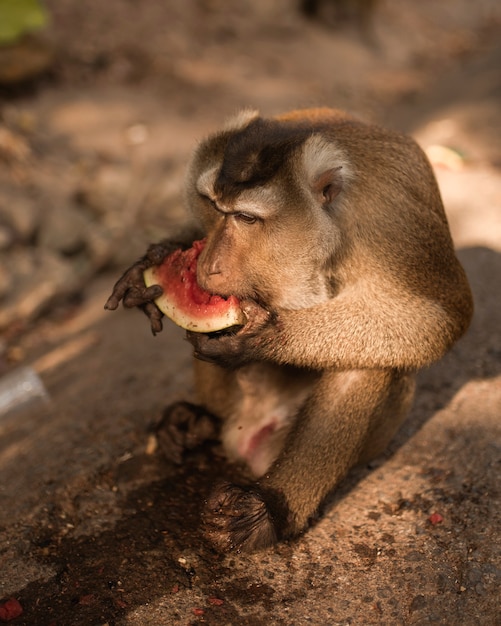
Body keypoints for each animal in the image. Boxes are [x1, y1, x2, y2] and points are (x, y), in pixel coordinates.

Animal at [105, 107, 472, 552]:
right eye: (213, 206)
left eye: (246, 218)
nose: (207, 265)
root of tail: (246, 436)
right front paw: (155, 258)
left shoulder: (393, 217)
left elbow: (438, 317)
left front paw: (265, 338)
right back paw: (199, 421)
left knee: (369, 363)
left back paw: (268, 508)